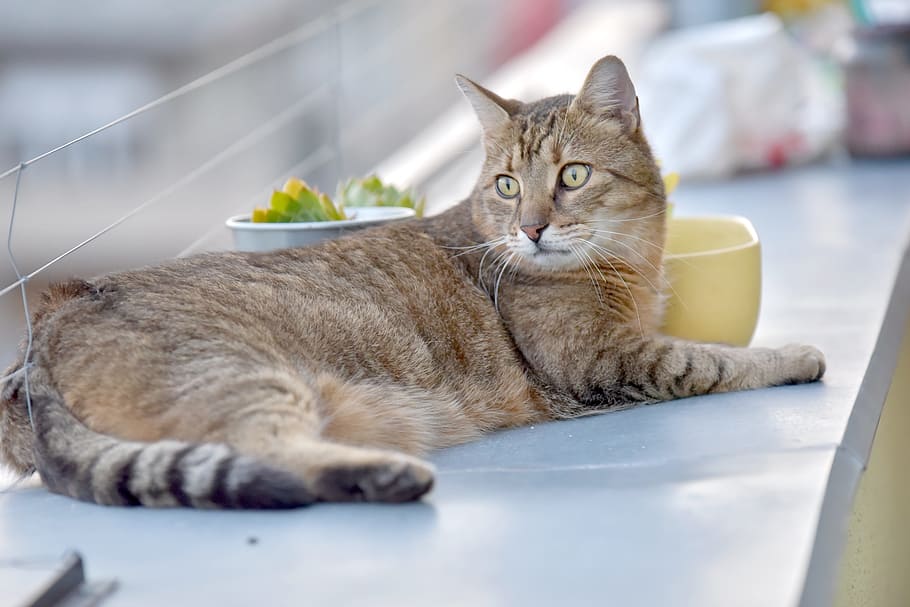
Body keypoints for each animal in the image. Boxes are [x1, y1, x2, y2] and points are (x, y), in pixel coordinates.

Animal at [0, 55, 828, 508]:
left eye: (572, 175)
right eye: (505, 186)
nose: (532, 227)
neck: (631, 263)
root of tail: (49, 328)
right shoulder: (605, 358)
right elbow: (710, 358)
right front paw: (796, 353)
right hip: (245, 376)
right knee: (269, 455)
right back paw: (391, 474)